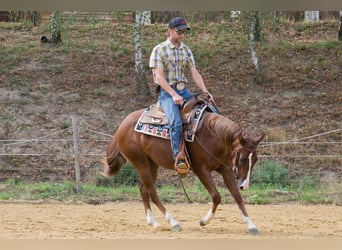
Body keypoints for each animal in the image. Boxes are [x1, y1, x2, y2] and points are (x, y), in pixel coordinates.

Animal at [101, 107, 264, 234]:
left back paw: (153, 222)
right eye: (242, 159)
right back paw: (173, 222)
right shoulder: (201, 169)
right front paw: (204, 221)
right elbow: (216, 196)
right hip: (140, 162)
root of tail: (123, 124)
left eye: (255, 159)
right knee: (152, 191)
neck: (213, 135)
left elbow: (237, 196)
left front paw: (251, 225)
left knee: (143, 189)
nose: (245, 185)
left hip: (152, 164)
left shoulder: (224, 169)